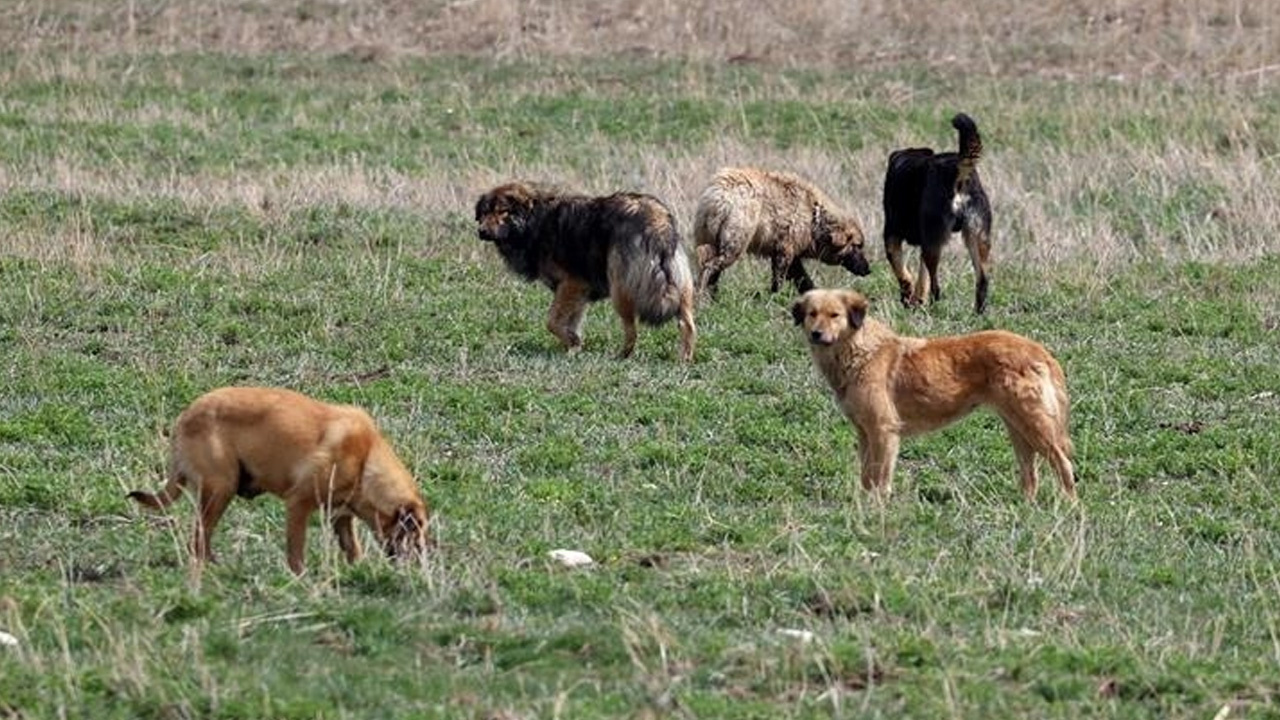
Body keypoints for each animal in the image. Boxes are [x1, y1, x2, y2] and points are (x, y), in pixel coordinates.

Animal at [127, 386, 432, 571]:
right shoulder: (298, 504)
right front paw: (300, 578)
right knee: (198, 539)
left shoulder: (340, 516)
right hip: (221, 489)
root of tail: (184, 417)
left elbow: (352, 549)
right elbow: (296, 551)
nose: (424, 561)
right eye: (415, 531)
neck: (366, 459)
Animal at [478, 179, 701, 358]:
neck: (536, 220)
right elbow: (569, 322)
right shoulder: (578, 293)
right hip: (680, 287)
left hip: (620, 290)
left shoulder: (572, 284)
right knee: (687, 325)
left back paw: (622, 356)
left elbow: (552, 322)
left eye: (503, 212)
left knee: (632, 329)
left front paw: (573, 343)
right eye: (484, 213)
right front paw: (572, 348)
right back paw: (684, 359)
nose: (481, 231)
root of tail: (657, 220)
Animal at [696, 167, 875, 297]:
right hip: (736, 240)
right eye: (858, 246)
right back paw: (705, 296)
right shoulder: (785, 248)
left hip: (709, 238)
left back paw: (712, 296)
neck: (814, 219)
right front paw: (775, 296)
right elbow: (780, 277)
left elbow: (803, 279)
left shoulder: (792, 250)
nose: (868, 269)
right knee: (710, 266)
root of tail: (718, 195)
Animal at [885, 112, 993, 311]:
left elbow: (902, 272)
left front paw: (908, 296)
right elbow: (922, 278)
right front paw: (916, 300)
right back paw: (977, 313)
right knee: (982, 280)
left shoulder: (891, 234)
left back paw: (935, 307)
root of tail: (958, 170)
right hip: (977, 238)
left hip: (933, 242)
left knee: (937, 285)